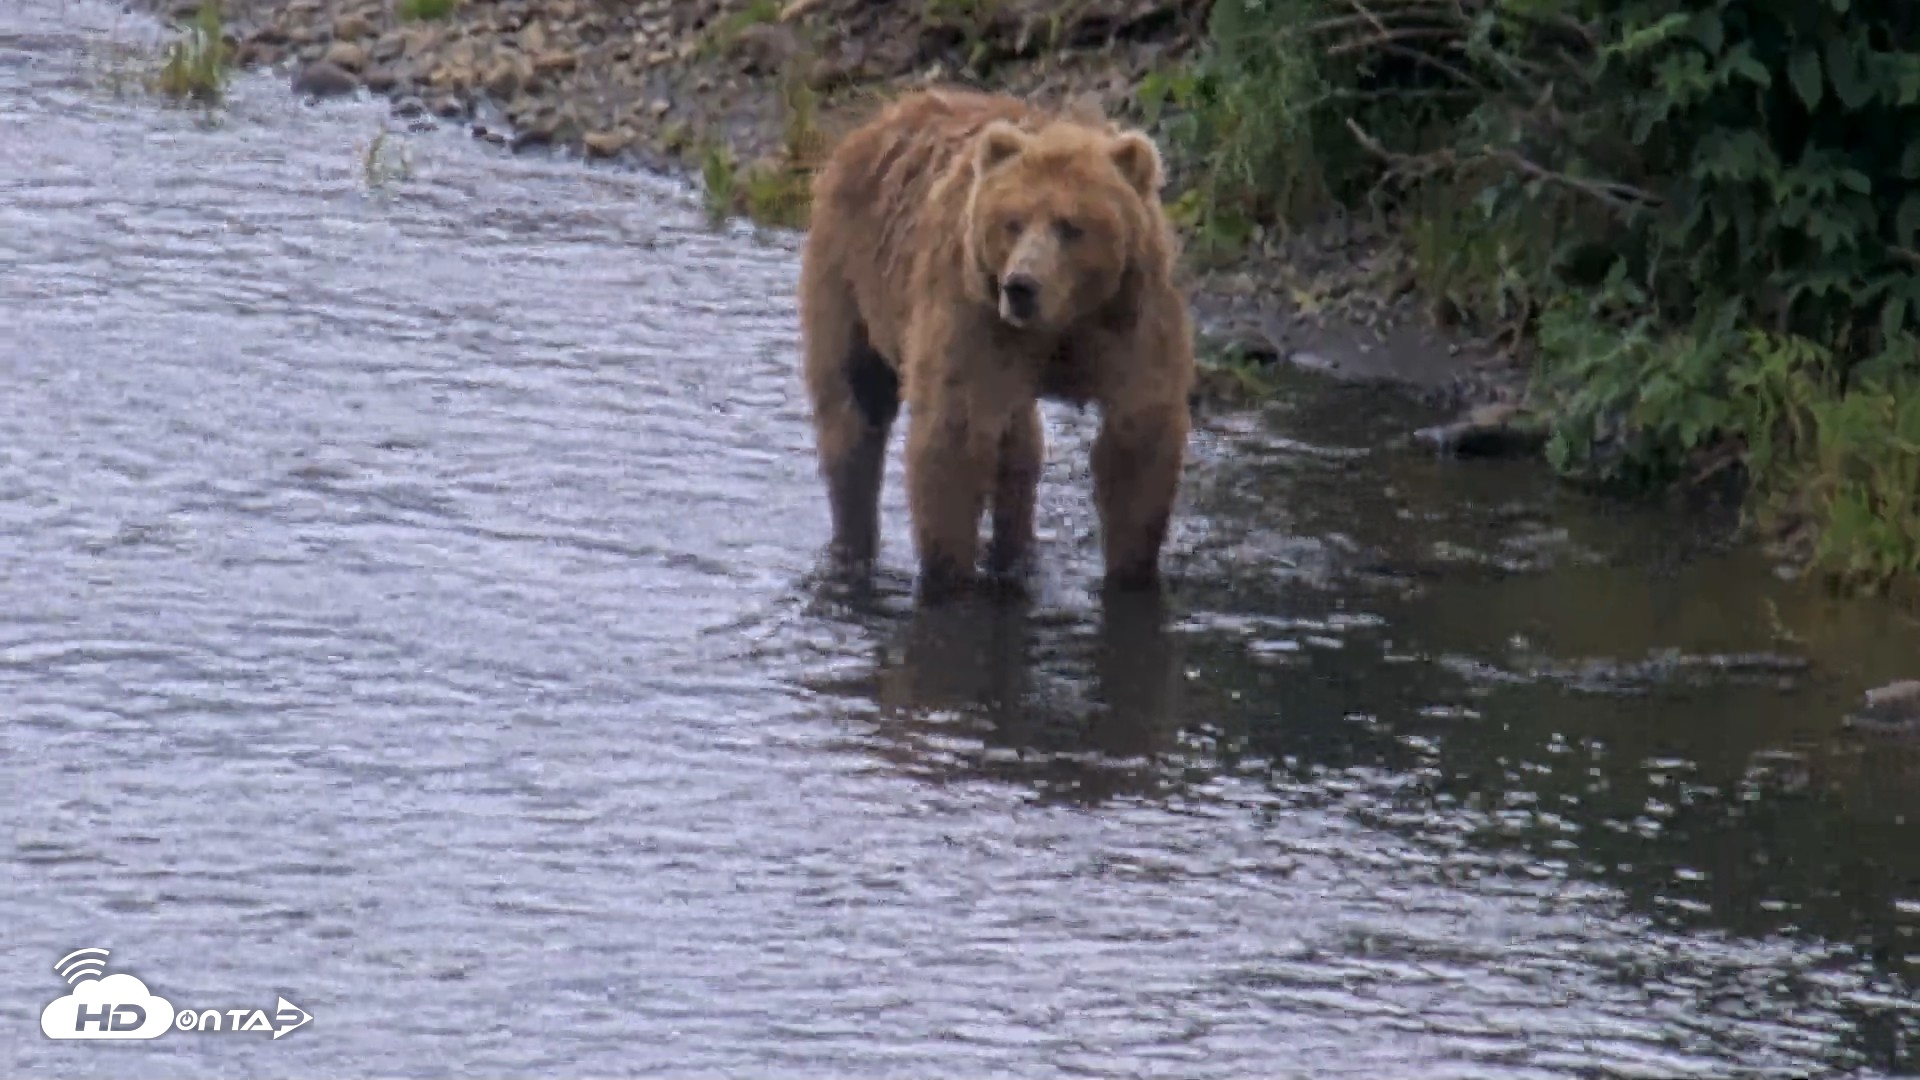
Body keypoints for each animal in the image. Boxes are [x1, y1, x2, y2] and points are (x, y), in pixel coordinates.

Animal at [797, 87, 1194, 596]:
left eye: (1071, 226)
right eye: (1013, 221)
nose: (1021, 286)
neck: (1065, 321)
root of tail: (883, 115)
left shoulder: (1129, 321)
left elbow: (1137, 438)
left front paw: (1131, 575)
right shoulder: (976, 315)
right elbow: (955, 436)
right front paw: (949, 577)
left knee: (1017, 446)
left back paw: (1015, 554)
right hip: (850, 277)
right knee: (855, 407)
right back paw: (853, 548)